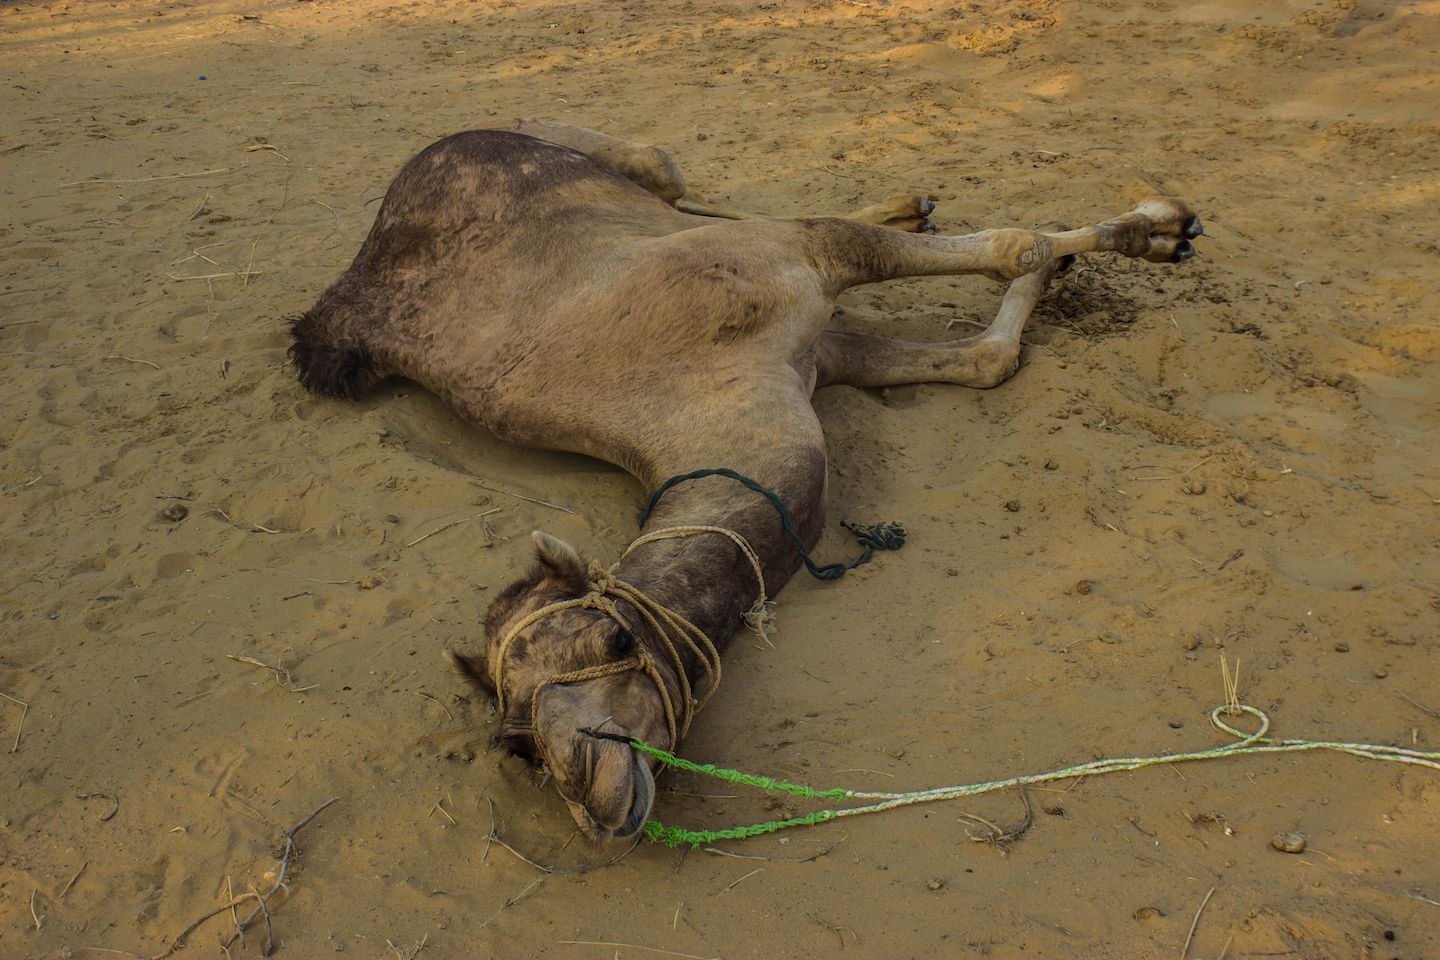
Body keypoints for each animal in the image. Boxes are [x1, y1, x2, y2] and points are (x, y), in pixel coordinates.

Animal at [289, 120, 1202, 841]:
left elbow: (1016, 246)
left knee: (672, 176)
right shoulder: (823, 355)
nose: (593, 792)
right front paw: (1089, 260)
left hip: (569, 157)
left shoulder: (798, 266)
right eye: (517, 746)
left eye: (614, 640)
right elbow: (986, 357)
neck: (685, 399)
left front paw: (1158, 226)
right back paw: (910, 203)